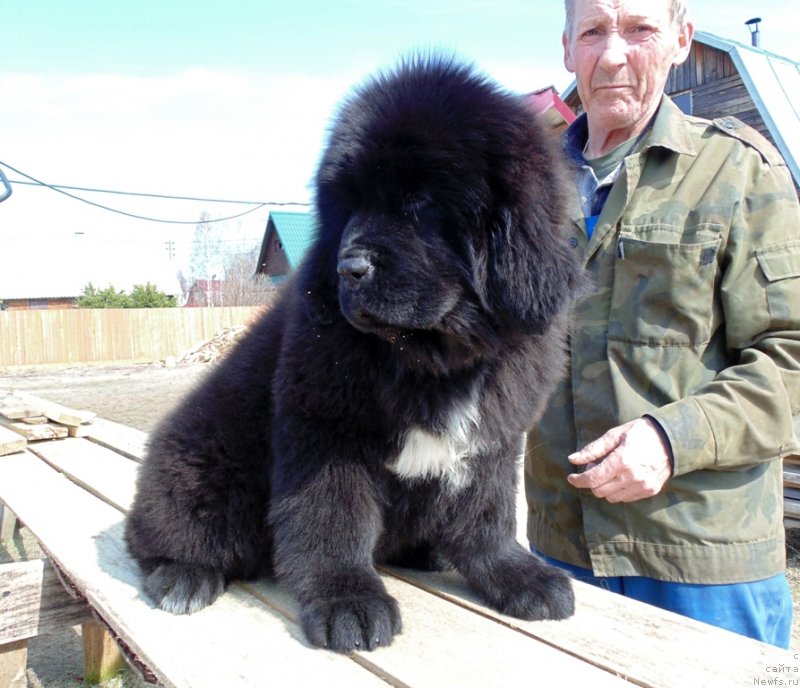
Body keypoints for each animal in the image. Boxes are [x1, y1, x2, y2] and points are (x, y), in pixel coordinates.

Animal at [128, 57, 584, 652]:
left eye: (419, 204)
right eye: (349, 207)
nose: (349, 268)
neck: (433, 357)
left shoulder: (494, 436)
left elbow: (489, 516)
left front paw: (517, 575)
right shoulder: (327, 433)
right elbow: (332, 520)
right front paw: (348, 601)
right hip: (200, 457)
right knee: (158, 531)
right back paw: (182, 575)